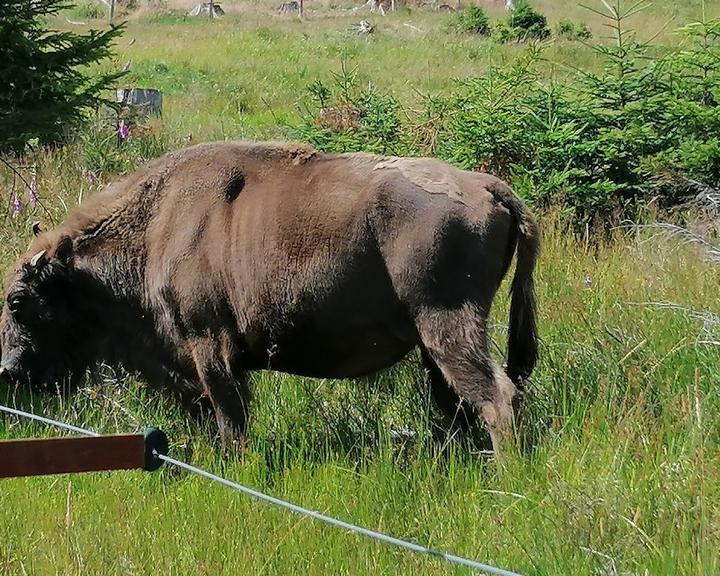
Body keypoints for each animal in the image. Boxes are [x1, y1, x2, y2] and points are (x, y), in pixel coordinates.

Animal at [0, 142, 536, 452]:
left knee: (496, 396)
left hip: (448, 324)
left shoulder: (209, 346)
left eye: (15, 301)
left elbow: (230, 419)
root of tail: (488, 186)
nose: (8, 369)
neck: (156, 228)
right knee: (458, 403)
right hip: (432, 342)